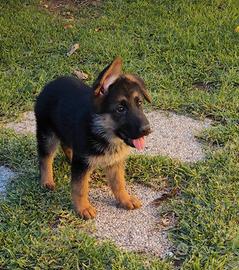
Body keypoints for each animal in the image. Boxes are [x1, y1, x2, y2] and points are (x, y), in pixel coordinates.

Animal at [34, 57, 151, 219]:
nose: (147, 130)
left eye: (139, 103)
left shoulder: (115, 162)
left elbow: (119, 183)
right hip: (48, 134)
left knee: (66, 145)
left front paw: (125, 199)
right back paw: (47, 181)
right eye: (120, 109)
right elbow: (80, 188)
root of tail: (49, 85)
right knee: (45, 157)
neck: (102, 132)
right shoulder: (82, 164)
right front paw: (83, 208)